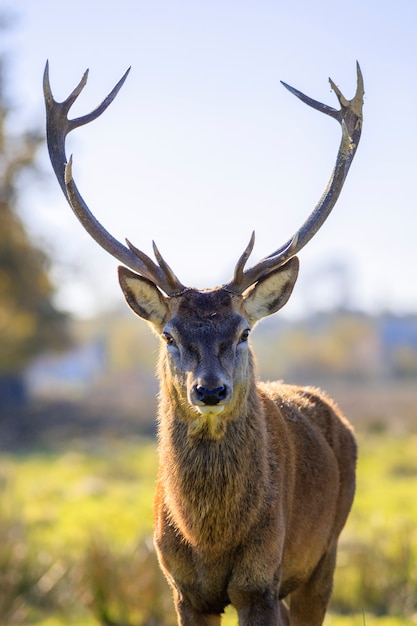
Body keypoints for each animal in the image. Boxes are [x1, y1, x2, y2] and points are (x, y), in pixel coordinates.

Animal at [42, 62, 360, 624]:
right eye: (170, 335)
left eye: (244, 331)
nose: (209, 390)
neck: (208, 538)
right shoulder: (182, 587)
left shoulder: (261, 579)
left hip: (325, 552)